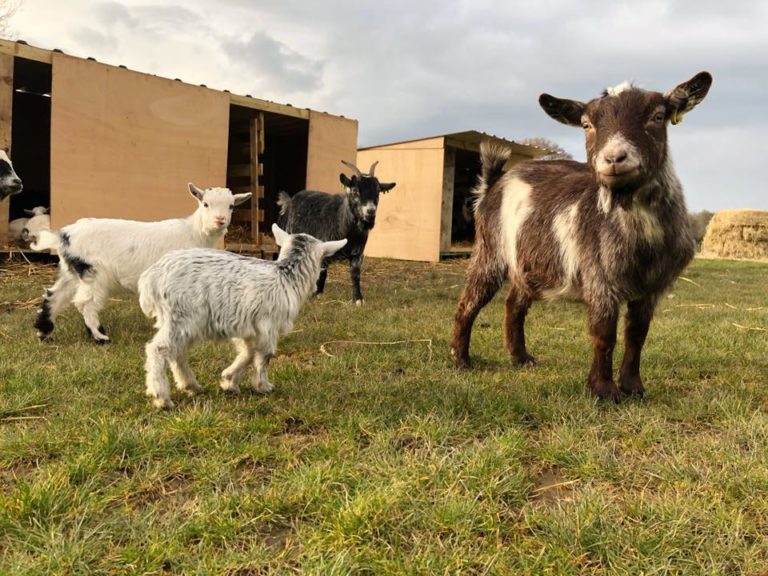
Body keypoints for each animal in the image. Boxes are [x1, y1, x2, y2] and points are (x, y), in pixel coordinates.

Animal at [31, 184, 250, 342]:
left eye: (231, 206)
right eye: (205, 204)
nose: (220, 219)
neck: (194, 232)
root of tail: (63, 235)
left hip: (72, 271)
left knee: (53, 296)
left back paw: (44, 333)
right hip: (92, 272)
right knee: (85, 303)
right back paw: (100, 336)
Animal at [139, 222, 348, 410]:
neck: (286, 277)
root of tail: (152, 277)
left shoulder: (248, 327)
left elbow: (248, 352)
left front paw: (229, 381)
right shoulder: (267, 325)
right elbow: (264, 355)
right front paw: (263, 386)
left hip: (182, 322)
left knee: (177, 352)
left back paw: (191, 385)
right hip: (181, 317)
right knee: (158, 349)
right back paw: (161, 397)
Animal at [276, 160, 396, 304]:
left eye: (378, 191)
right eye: (355, 191)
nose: (370, 212)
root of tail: (288, 202)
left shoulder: (358, 254)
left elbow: (355, 274)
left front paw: (358, 299)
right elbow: (322, 273)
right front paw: (317, 294)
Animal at [450, 72, 712, 402]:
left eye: (658, 116)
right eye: (587, 124)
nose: (614, 159)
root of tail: (494, 183)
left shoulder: (652, 287)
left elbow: (637, 334)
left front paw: (634, 388)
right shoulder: (599, 277)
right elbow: (604, 333)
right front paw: (604, 391)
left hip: (530, 262)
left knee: (514, 303)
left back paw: (521, 358)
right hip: (489, 250)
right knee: (469, 302)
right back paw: (460, 360)